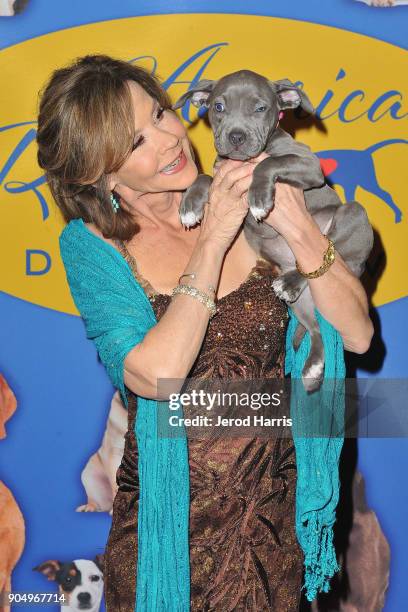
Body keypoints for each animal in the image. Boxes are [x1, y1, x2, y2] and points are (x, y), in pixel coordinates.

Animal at [172, 69, 372, 390]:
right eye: (218, 107)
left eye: (260, 108)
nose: (236, 136)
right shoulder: (223, 175)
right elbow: (204, 177)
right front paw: (190, 205)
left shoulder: (309, 165)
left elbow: (268, 164)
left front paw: (259, 199)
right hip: (299, 305)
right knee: (315, 328)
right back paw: (313, 368)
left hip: (353, 215)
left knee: (328, 251)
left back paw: (290, 282)